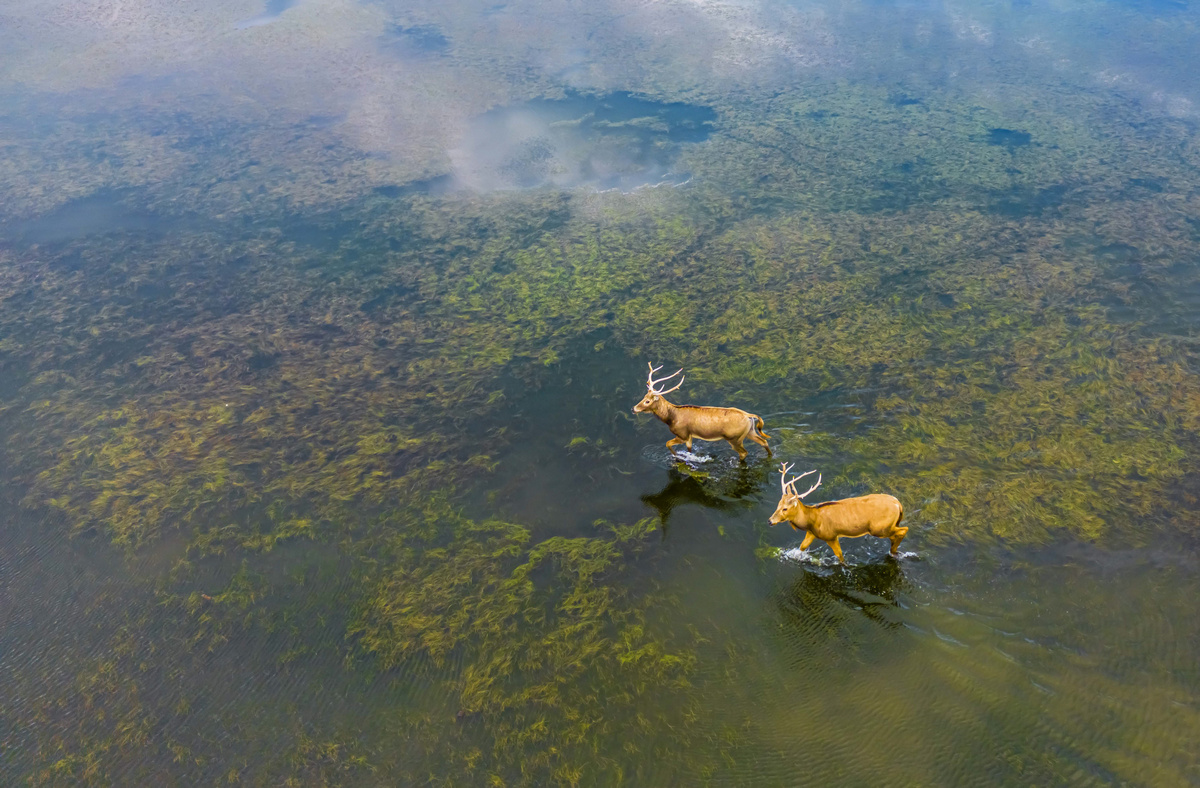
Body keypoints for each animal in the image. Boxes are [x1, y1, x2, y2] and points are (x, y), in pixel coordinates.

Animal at [633, 362, 772, 460]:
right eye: (644, 397)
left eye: (647, 401)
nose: (634, 408)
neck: (670, 418)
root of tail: (749, 415)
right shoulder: (689, 436)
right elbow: (689, 450)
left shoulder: (682, 434)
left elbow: (668, 444)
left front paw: (677, 456)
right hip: (749, 431)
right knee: (764, 441)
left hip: (734, 438)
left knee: (744, 453)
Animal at [768, 460, 907, 566]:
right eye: (778, 504)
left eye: (785, 508)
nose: (770, 521)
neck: (811, 520)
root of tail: (898, 504)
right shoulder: (811, 533)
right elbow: (802, 547)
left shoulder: (830, 535)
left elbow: (840, 556)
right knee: (897, 534)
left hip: (879, 528)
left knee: (903, 530)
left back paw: (893, 553)